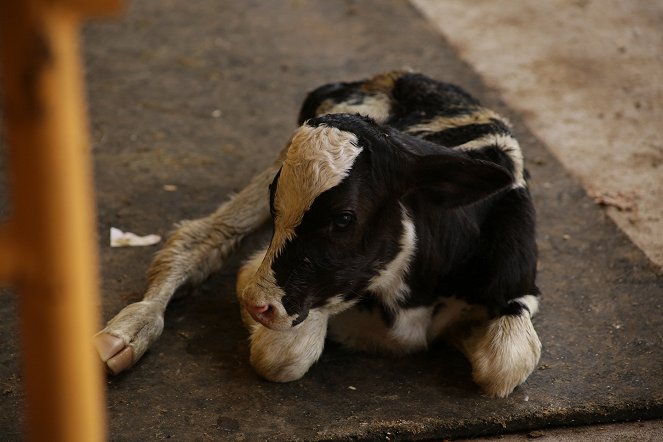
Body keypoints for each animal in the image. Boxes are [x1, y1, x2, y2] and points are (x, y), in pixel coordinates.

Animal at [96, 71, 544, 398]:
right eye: (275, 203)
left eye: (344, 219)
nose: (256, 305)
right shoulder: (266, 279)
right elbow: (282, 355)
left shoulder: (517, 287)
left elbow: (505, 365)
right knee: (200, 236)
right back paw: (127, 333)